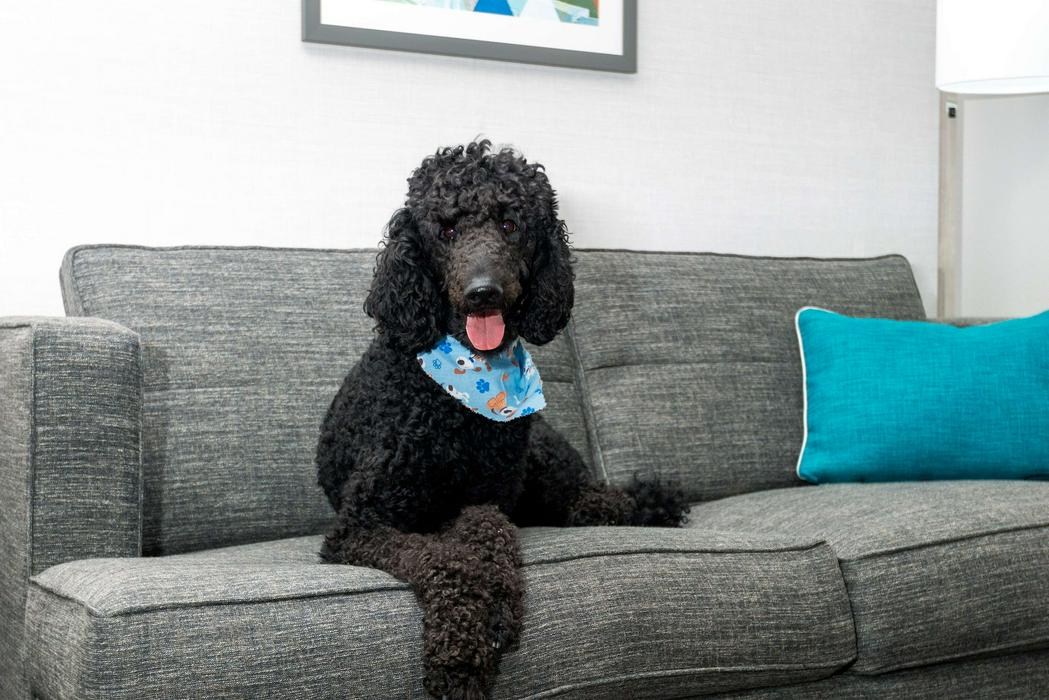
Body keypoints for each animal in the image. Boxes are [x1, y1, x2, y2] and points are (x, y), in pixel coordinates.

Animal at [316, 141, 688, 699]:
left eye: (510, 224)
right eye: (446, 230)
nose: (482, 293)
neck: (456, 400)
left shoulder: (486, 496)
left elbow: (489, 531)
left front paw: (494, 608)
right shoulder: (360, 523)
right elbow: (444, 558)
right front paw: (462, 650)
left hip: (542, 461)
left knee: (596, 498)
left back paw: (633, 507)